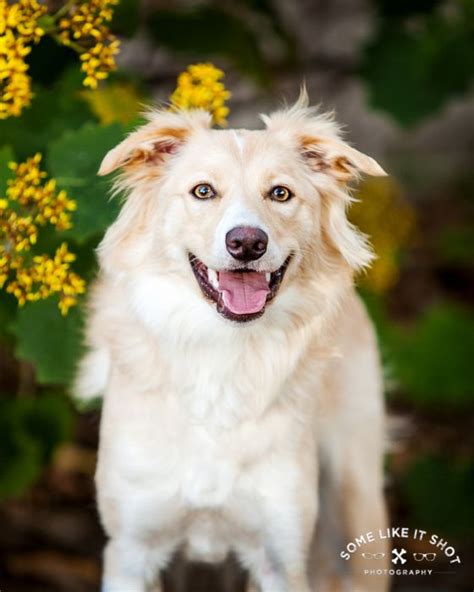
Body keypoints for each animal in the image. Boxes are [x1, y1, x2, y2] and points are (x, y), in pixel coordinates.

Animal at [76, 93, 390, 592]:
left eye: (280, 193)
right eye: (203, 191)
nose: (247, 243)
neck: (222, 353)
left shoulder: (282, 558)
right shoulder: (130, 552)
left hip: (358, 507)